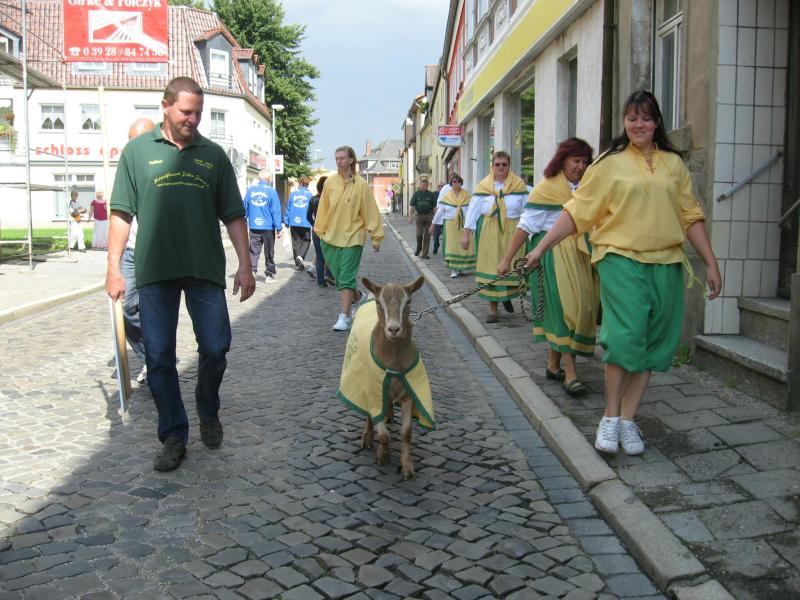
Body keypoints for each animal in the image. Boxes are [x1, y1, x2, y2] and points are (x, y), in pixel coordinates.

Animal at [336, 275, 435, 479]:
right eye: (379, 303)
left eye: (408, 301)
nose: (394, 329)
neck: (394, 362)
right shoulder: (373, 392)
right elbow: (383, 434)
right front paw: (383, 455)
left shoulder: (408, 394)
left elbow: (407, 432)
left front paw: (407, 467)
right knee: (368, 415)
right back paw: (367, 437)